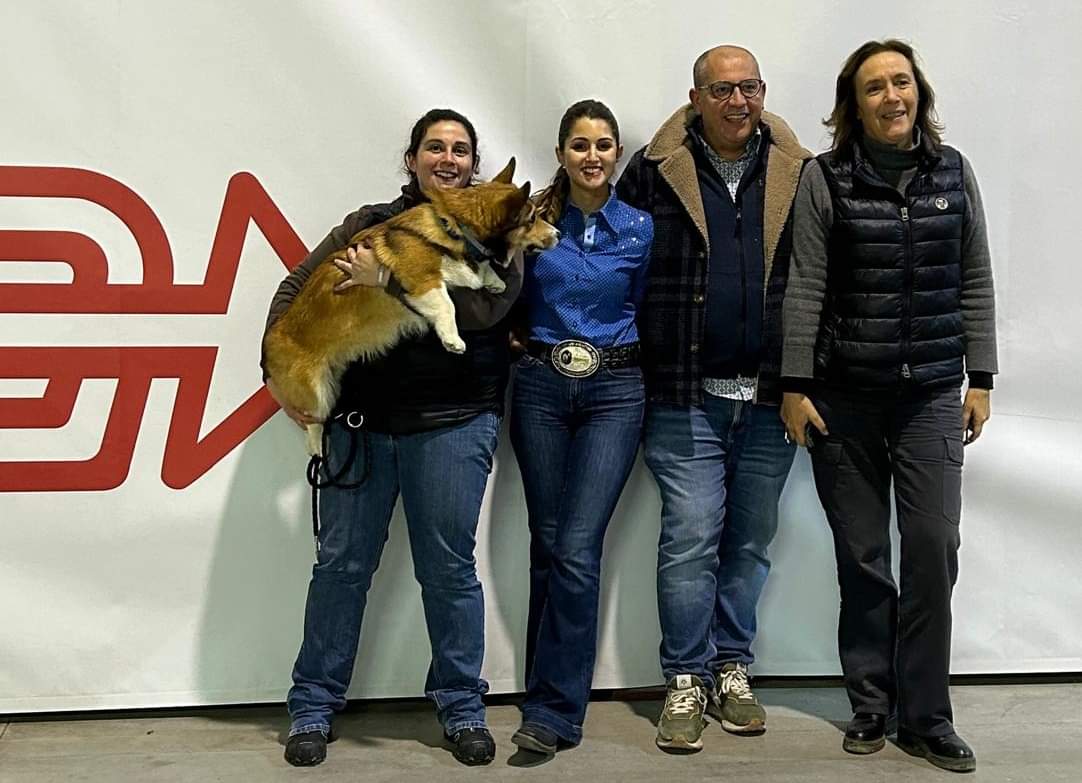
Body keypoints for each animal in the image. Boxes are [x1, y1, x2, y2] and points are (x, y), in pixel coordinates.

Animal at [263, 158, 558, 454]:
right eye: (532, 219)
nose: (558, 233)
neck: (458, 228)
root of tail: (268, 348)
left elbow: (474, 273)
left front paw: (495, 281)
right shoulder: (424, 281)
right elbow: (446, 304)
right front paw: (453, 340)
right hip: (317, 391)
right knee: (313, 422)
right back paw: (316, 447)